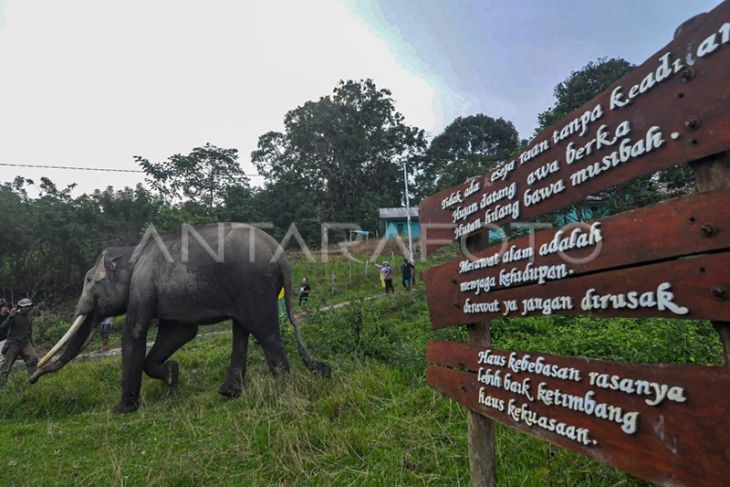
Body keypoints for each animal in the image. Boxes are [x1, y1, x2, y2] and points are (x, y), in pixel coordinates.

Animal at [29, 223, 328, 414]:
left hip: (253, 283)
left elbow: (134, 332)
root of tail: (282, 256)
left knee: (264, 330)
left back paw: (283, 388)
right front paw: (172, 377)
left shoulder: (142, 284)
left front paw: (121, 410)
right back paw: (230, 392)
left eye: (90, 282)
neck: (130, 250)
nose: (31, 378)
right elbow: (181, 333)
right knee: (241, 329)